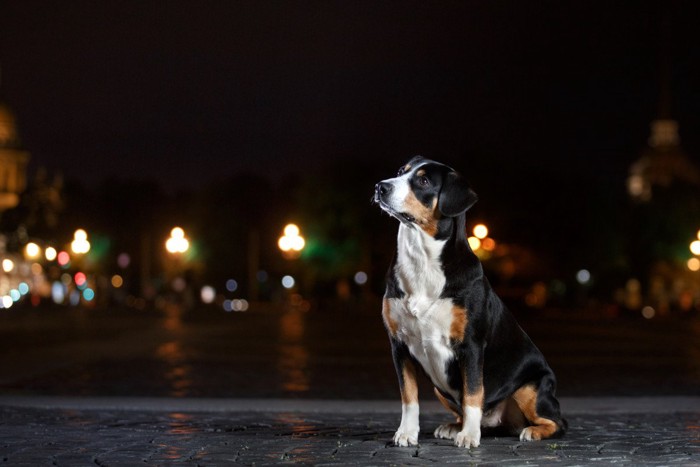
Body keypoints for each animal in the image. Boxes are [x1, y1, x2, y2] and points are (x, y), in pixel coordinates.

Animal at [374, 158, 568, 450]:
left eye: (423, 181)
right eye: (400, 172)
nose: (380, 187)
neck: (422, 261)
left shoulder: (472, 344)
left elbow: (473, 393)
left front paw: (469, 436)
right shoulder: (399, 344)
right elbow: (409, 396)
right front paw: (407, 433)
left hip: (531, 388)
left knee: (557, 422)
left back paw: (529, 431)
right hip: (439, 388)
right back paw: (455, 426)